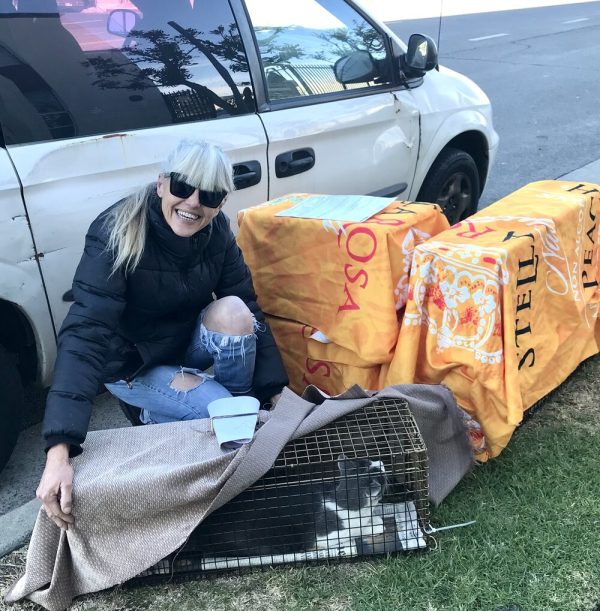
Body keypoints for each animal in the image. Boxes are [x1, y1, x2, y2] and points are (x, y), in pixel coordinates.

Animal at [193, 454, 390, 560]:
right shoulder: (321, 537)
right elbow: (354, 530)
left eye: (367, 461)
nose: (381, 462)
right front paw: (374, 525)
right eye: (377, 470)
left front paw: (375, 519)